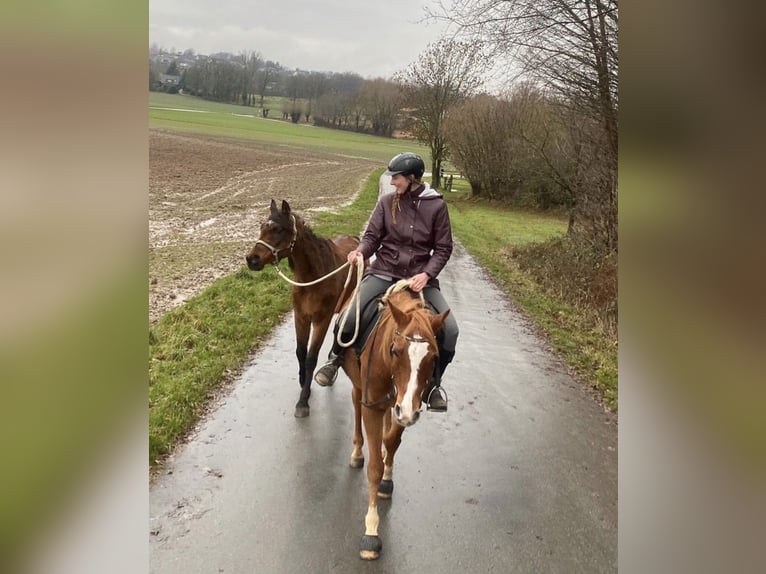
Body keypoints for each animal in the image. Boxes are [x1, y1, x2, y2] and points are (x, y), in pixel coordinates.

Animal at [249, 201, 364, 418]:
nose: (251, 259)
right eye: (261, 226)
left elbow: (311, 357)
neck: (313, 279)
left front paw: (303, 401)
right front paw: (304, 383)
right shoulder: (300, 317)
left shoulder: (321, 320)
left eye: (278, 229)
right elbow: (300, 352)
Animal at [340, 284, 450, 564]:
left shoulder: (406, 407)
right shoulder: (374, 406)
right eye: (395, 351)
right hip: (360, 387)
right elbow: (373, 468)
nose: (405, 410)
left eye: (434, 357)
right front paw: (371, 532)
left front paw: (387, 480)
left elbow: (391, 441)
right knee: (355, 404)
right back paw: (357, 453)